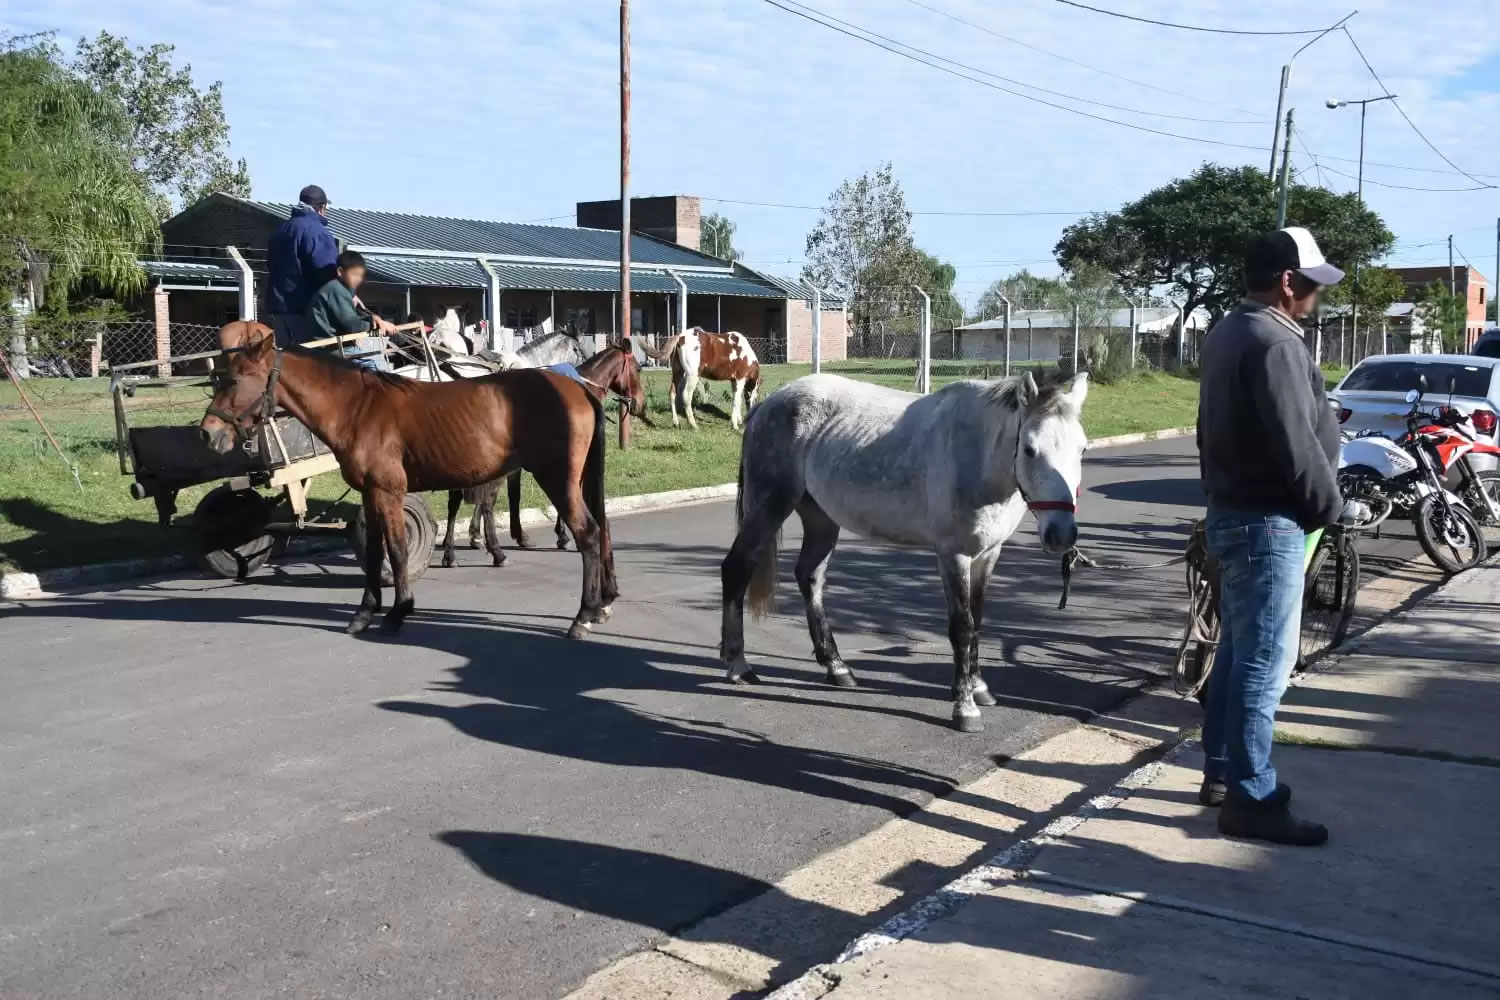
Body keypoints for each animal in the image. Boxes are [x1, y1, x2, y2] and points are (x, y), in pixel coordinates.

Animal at [200, 321, 617, 639]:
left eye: (236, 379)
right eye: (224, 378)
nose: (208, 433)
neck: (358, 408)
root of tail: (576, 387)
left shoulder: (389, 492)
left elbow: (398, 550)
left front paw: (399, 610)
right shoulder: (371, 494)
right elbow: (374, 552)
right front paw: (365, 613)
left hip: (558, 479)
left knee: (589, 534)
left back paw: (583, 616)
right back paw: (598, 605)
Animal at [441, 341, 647, 567]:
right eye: (638, 369)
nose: (639, 404)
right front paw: (563, 536)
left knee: (458, 499)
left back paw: (453, 550)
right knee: (481, 501)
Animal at [719, 370, 1089, 733]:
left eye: (1082, 449)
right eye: (1029, 449)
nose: (1061, 534)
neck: (976, 453)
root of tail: (768, 404)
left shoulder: (988, 554)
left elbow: (978, 621)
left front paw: (979, 687)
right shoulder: (953, 555)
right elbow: (962, 627)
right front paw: (965, 707)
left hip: (821, 518)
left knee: (809, 577)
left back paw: (837, 667)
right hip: (769, 506)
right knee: (737, 568)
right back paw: (739, 665)